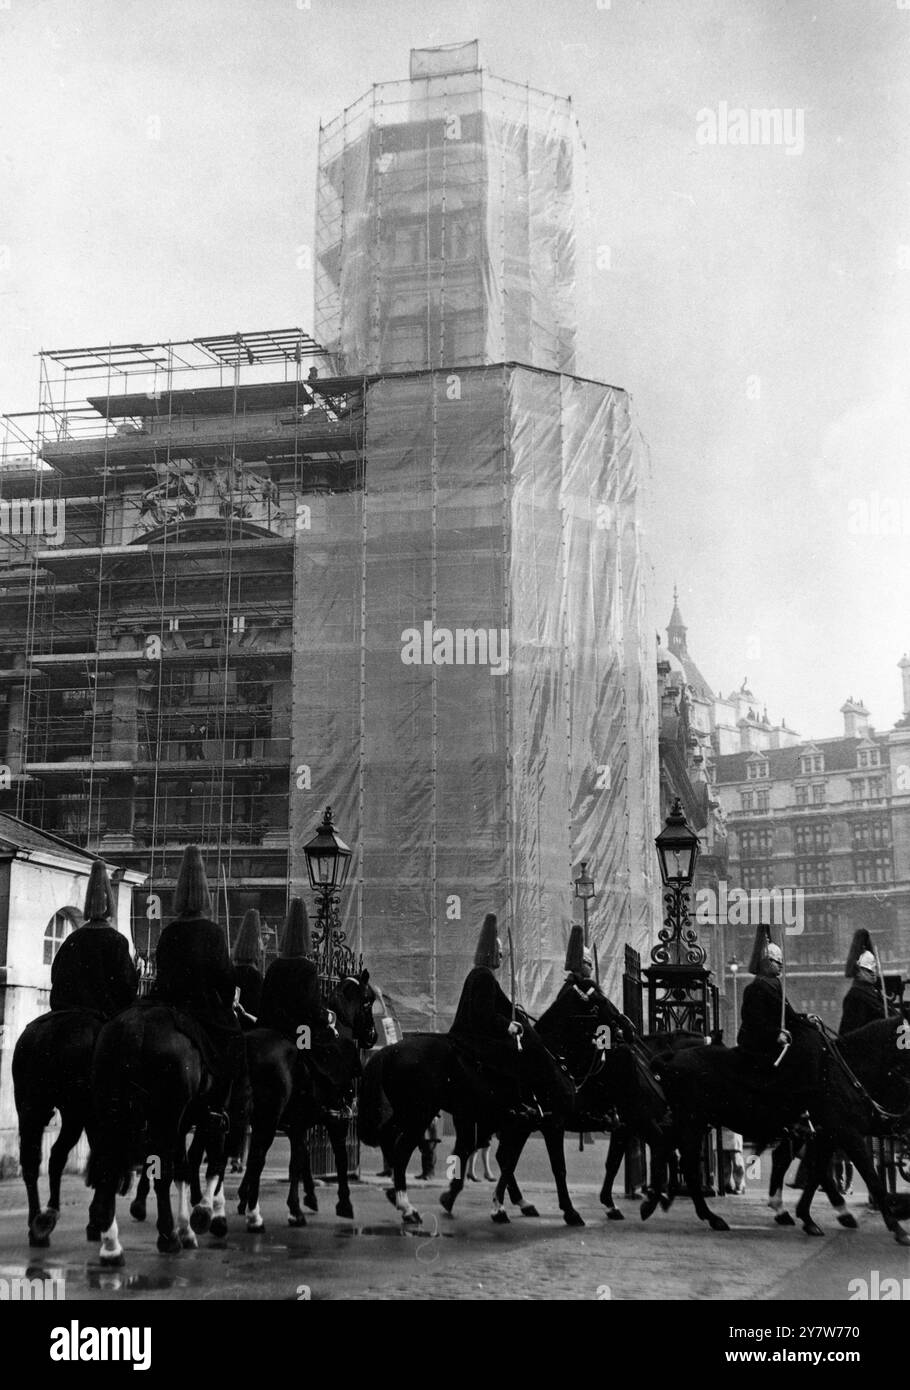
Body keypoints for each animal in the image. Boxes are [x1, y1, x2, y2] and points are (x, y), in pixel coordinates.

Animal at [87, 1006, 232, 1267]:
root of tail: (136, 1029)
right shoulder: (211, 1113)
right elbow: (210, 1161)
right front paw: (203, 1214)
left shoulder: (184, 1124)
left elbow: (185, 1168)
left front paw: (190, 1225)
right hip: (165, 1118)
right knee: (164, 1173)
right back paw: (168, 1237)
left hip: (111, 1116)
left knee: (108, 1171)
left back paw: (111, 1247)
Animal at [238, 973, 377, 1234]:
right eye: (368, 1001)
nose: (372, 1036)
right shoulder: (336, 1120)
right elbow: (338, 1157)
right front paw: (342, 1202)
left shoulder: (298, 1123)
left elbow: (300, 1159)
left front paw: (306, 1199)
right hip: (268, 1117)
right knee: (257, 1156)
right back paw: (253, 1215)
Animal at [658, 1017, 910, 1245]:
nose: (898, 1122)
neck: (846, 1071)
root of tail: (672, 1058)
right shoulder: (847, 1134)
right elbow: (871, 1179)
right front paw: (897, 1228)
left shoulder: (829, 1135)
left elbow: (817, 1171)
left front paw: (809, 1217)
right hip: (693, 1123)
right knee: (689, 1165)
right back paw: (711, 1216)